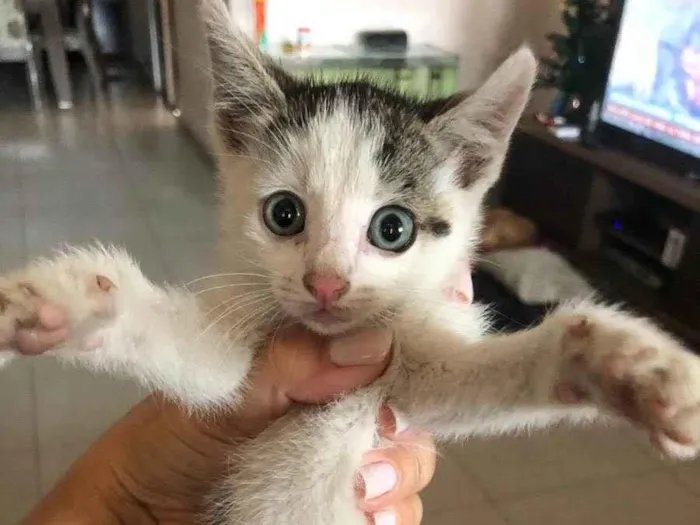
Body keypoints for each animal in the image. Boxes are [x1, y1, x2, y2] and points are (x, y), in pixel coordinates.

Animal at [1, 2, 700, 520]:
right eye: (284, 215)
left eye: (393, 229)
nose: (327, 283)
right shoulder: (245, 373)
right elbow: (194, 359)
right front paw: (67, 305)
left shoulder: (408, 379)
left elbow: (485, 376)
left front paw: (620, 363)